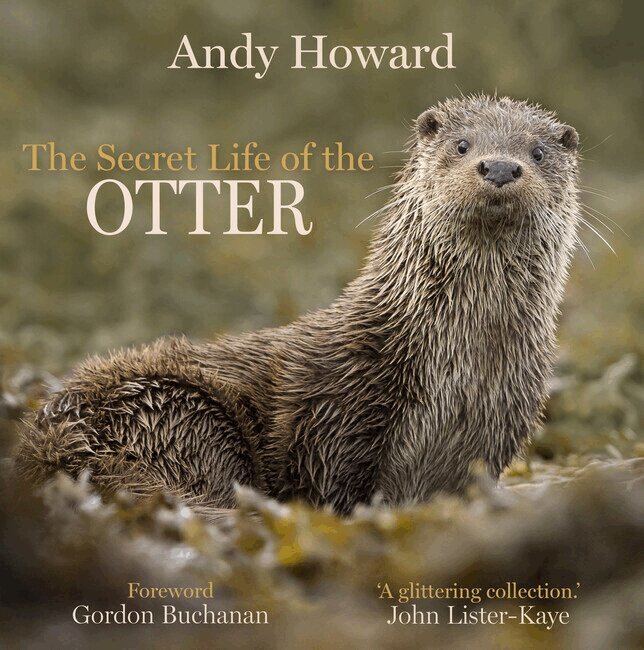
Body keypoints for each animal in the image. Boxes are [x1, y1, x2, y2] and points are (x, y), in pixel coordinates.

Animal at [15, 96, 580, 516]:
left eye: (538, 152)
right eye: (462, 145)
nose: (501, 167)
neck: (462, 370)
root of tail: (50, 443)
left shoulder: (497, 428)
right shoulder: (332, 416)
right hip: (179, 412)